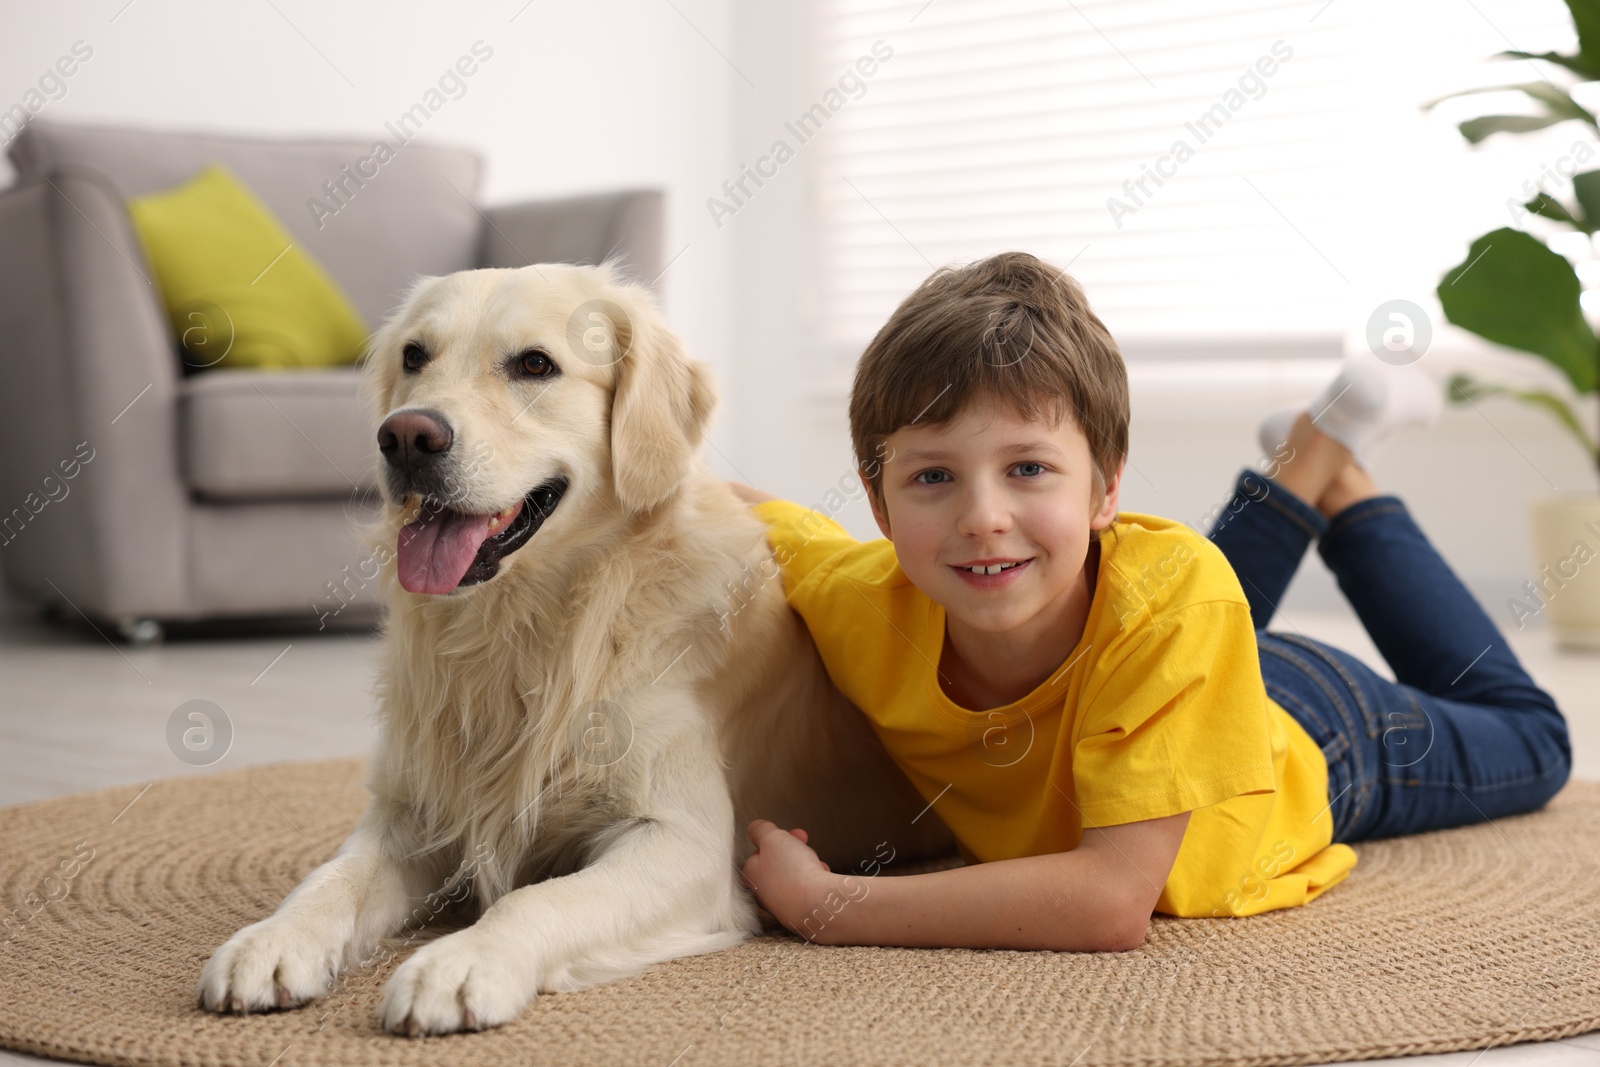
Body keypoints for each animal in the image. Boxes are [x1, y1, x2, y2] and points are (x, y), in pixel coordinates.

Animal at [196, 260, 947, 1036]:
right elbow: (330, 876)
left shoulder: (681, 839)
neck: (529, 623)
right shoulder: (410, 812)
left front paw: (461, 962)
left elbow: (536, 896)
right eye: (414, 356)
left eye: (535, 365)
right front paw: (269, 940)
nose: (404, 436)